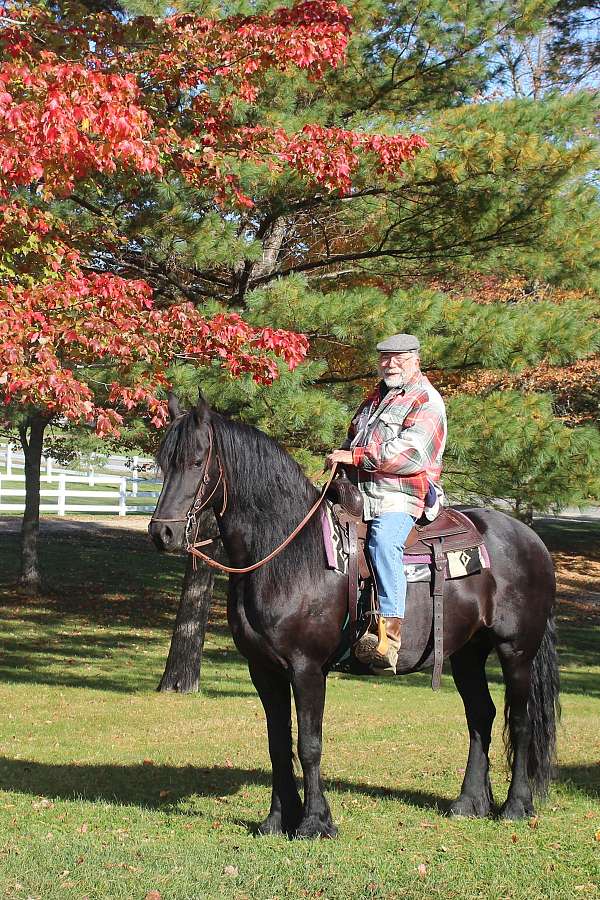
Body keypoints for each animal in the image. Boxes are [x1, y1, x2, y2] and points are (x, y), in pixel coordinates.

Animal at [149, 398, 556, 840]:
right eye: (163, 462)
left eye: (196, 461)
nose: (162, 534)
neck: (290, 555)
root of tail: (529, 538)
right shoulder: (264, 670)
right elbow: (278, 743)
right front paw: (276, 820)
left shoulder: (307, 668)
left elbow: (309, 744)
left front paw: (315, 822)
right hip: (467, 653)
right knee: (481, 715)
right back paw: (468, 803)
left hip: (516, 651)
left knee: (521, 721)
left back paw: (516, 806)